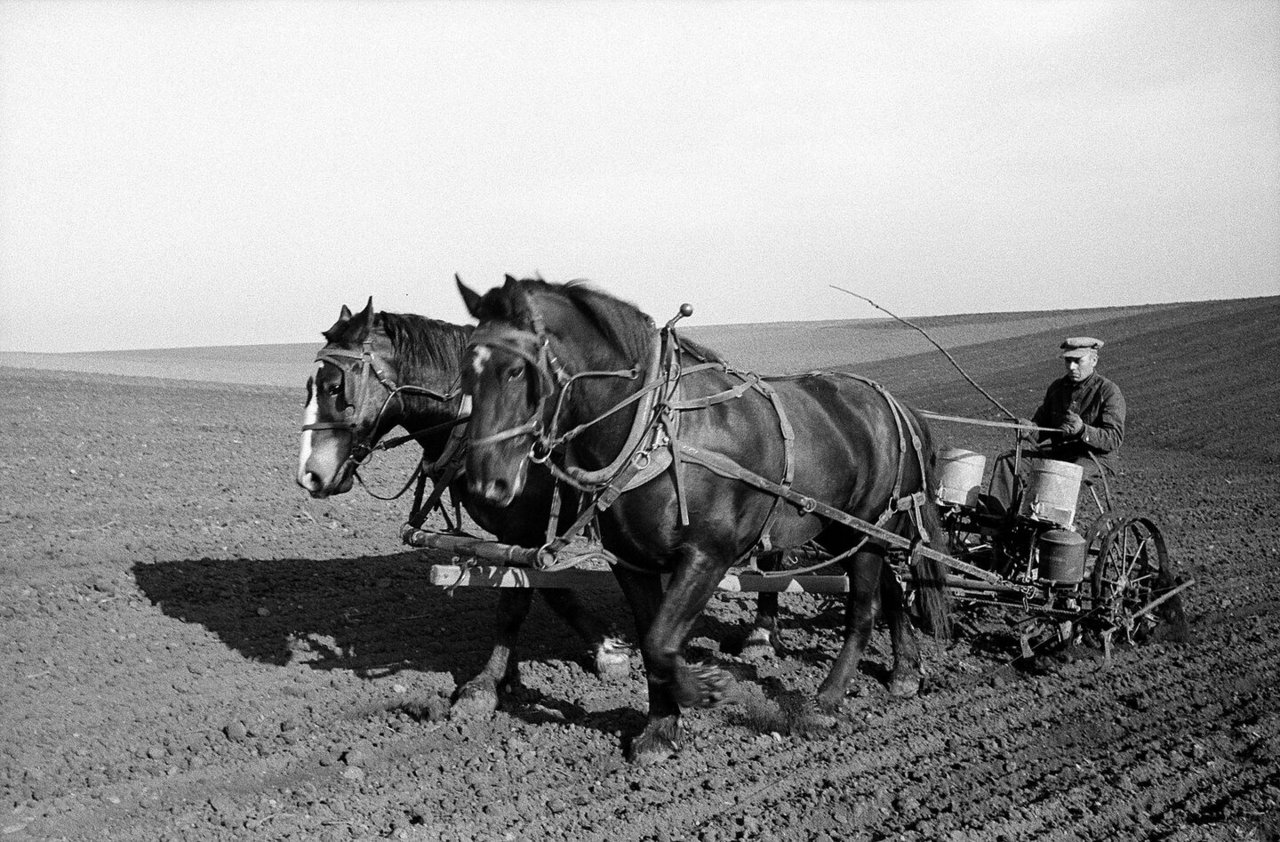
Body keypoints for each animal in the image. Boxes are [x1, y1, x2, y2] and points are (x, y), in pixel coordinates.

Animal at [291, 298, 629, 711]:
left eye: (335, 387)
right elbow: (552, 589)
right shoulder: (521, 535)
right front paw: (606, 646)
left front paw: (483, 685)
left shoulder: (526, 527)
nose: (309, 475)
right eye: (311, 385)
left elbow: (514, 605)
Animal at [458, 275, 952, 762]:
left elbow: (661, 643)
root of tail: (895, 405)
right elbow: (650, 640)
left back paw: (826, 701)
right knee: (890, 588)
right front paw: (660, 729)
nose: (485, 484)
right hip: (841, 531)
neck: (653, 428)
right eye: (466, 374)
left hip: (869, 528)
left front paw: (708, 690)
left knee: (863, 610)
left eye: (516, 370)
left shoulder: (706, 556)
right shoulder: (630, 561)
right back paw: (906, 671)